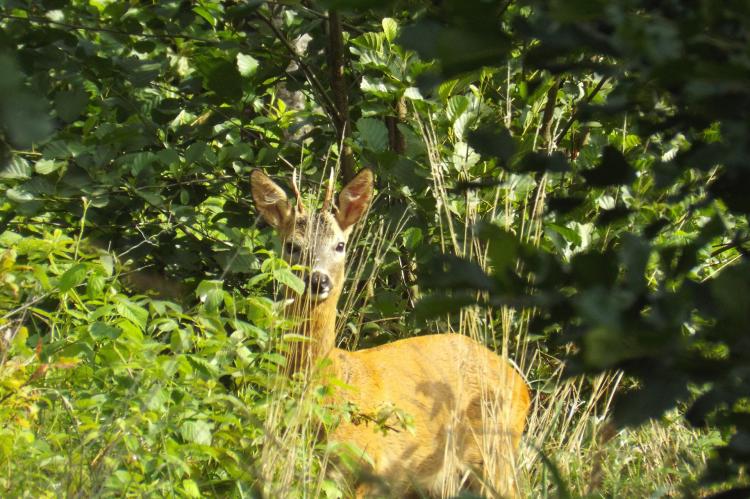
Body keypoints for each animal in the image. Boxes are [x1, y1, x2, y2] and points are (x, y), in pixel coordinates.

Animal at [250, 170, 532, 498]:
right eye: (292, 245)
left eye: (340, 245)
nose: (319, 280)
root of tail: (521, 385)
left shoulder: (368, 466)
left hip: (496, 454)